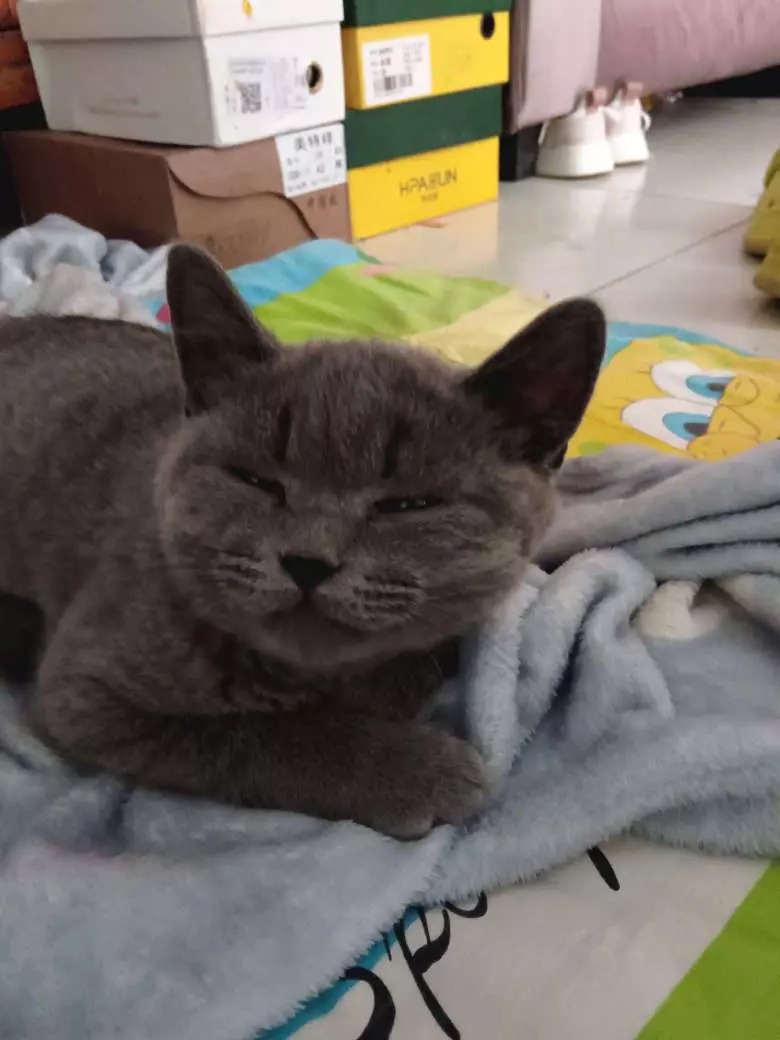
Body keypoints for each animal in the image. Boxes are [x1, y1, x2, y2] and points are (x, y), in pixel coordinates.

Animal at [0, 245, 605, 837]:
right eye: (255, 480)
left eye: (408, 505)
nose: (307, 562)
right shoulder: (81, 692)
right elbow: (251, 735)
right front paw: (414, 771)